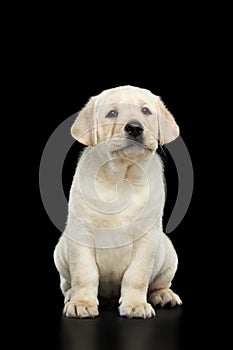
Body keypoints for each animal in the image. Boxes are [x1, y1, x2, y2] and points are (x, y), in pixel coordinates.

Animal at [54, 84, 182, 318]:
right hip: (60, 251)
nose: (134, 128)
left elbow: (137, 275)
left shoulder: (146, 236)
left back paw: (163, 295)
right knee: (67, 283)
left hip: (168, 253)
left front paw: (136, 304)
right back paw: (71, 295)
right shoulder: (81, 233)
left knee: (160, 283)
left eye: (145, 111)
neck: (121, 178)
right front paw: (82, 303)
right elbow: (85, 273)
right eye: (112, 113)